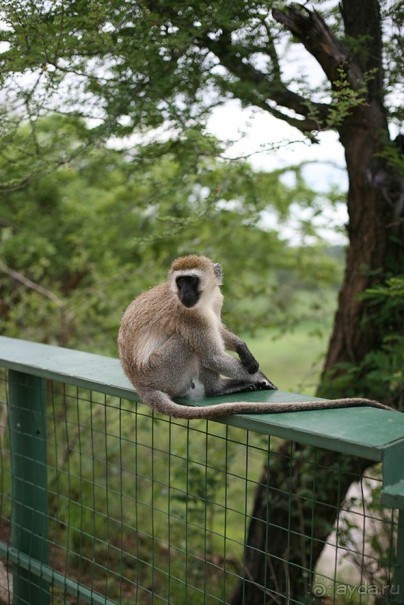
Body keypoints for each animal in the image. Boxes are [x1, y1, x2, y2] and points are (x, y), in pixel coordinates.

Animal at [117, 252, 392, 418]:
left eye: (191, 280)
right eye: (179, 282)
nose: (184, 293)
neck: (204, 300)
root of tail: (141, 385)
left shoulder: (216, 300)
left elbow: (219, 330)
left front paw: (243, 348)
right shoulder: (188, 315)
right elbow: (213, 354)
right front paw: (261, 377)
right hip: (162, 371)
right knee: (192, 346)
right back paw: (218, 389)